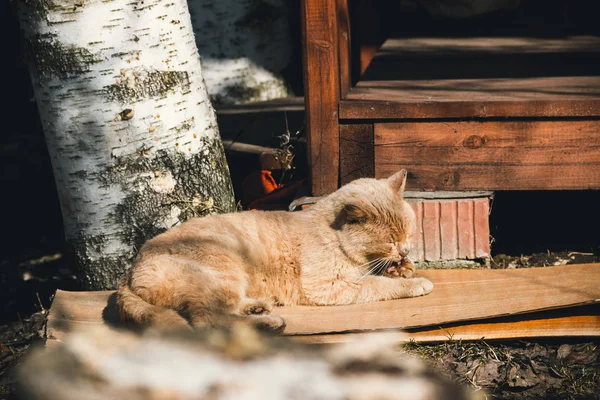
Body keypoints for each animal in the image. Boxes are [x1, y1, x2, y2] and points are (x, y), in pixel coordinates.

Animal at [117, 170, 434, 332]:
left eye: (408, 232)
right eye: (391, 240)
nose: (405, 250)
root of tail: (129, 273)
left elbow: (381, 275)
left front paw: (404, 269)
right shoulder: (330, 286)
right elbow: (377, 285)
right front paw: (415, 282)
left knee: (223, 310)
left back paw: (258, 308)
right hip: (221, 272)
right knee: (208, 319)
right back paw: (269, 323)